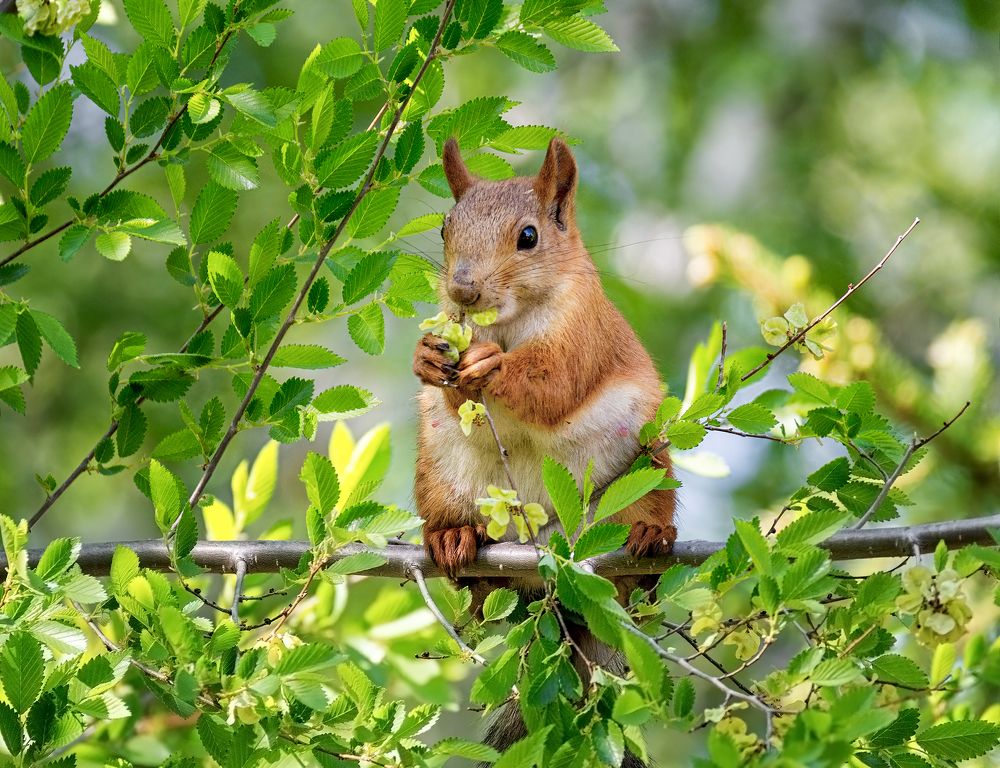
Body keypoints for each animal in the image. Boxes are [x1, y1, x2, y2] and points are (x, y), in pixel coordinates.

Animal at [412, 137, 676, 764]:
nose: (462, 290)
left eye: (528, 236)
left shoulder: (583, 334)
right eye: (445, 227)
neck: (508, 322)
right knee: (477, 582)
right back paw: (455, 540)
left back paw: (649, 538)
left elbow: (552, 384)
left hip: (647, 464)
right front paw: (427, 357)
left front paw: (492, 365)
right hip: (441, 470)